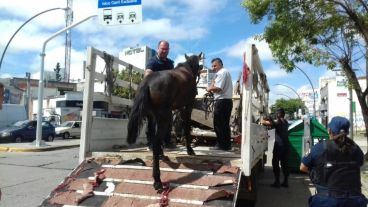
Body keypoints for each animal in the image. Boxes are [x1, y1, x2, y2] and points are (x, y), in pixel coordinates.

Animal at [125, 52, 203, 191]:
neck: (187, 69)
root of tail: (148, 82)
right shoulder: (188, 105)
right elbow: (186, 126)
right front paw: (190, 150)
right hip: (164, 116)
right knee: (156, 141)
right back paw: (157, 180)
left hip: (153, 115)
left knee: (151, 135)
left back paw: (161, 155)